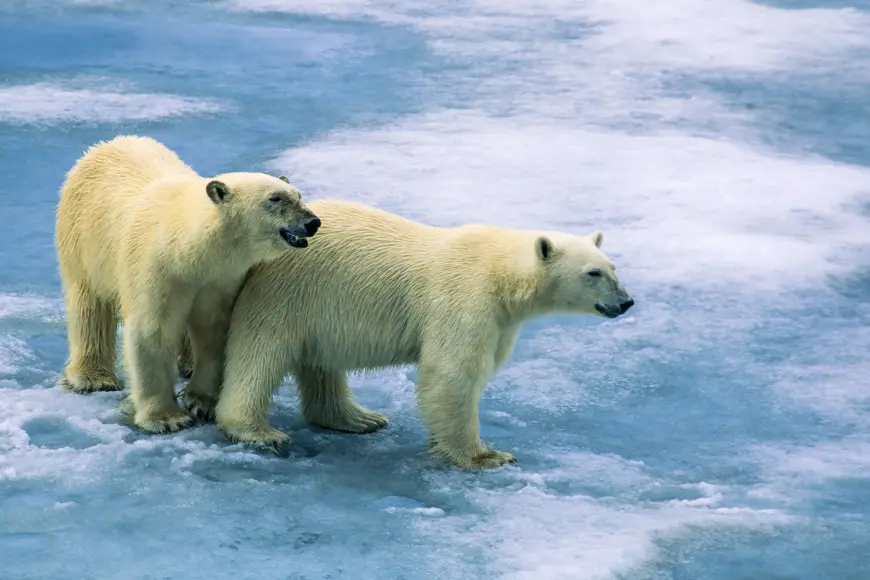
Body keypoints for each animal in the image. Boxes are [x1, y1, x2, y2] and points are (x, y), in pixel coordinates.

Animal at [54, 136, 322, 436]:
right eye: (274, 199)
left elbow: (213, 329)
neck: (185, 247)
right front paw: (166, 418)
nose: (312, 222)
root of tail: (104, 145)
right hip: (82, 237)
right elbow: (153, 331)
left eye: (299, 195)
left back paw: (187, 365)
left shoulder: (217, 280)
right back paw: (93, 377)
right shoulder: (156, 269)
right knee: (88, 304)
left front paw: (203, 403)